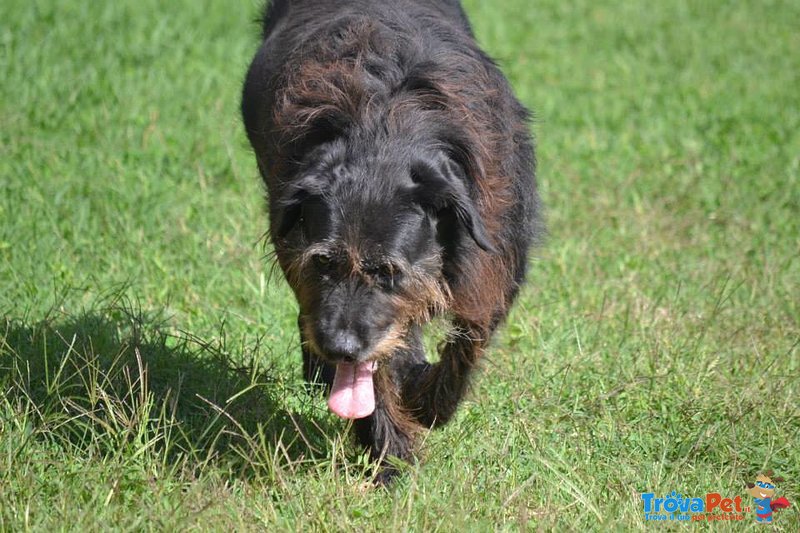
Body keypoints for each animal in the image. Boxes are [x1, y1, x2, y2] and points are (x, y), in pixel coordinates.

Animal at [241, 0, 540, 480]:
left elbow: (471, 332)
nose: (339, 349)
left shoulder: (496, 247)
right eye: (323, 262)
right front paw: (389, 451)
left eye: (387, 270)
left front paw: (424, 403)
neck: (385, 128)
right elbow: (372, 372)